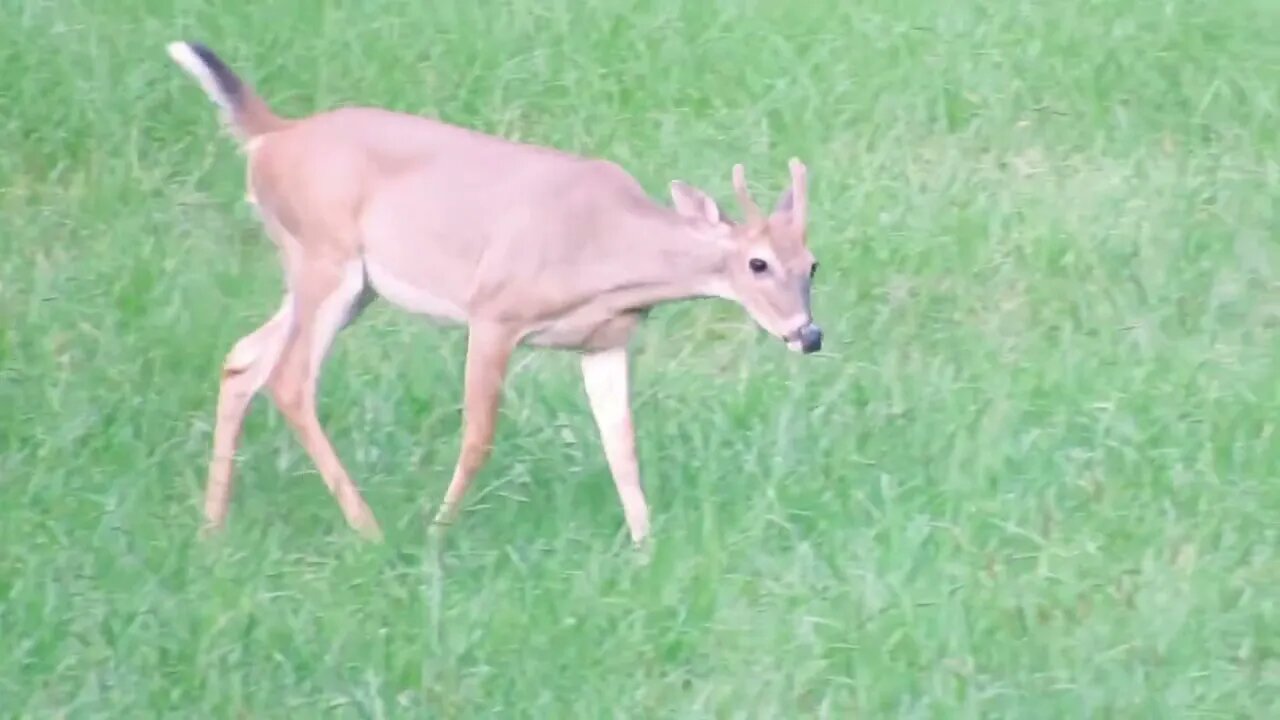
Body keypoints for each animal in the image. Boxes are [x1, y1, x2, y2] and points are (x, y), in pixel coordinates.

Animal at [165, 40, 824, 548]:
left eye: (814, 265)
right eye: (758, 263)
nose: (809, 334)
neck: (607, 249)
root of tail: (273, 136)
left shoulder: (605, 342)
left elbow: (623, 446)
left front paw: (645, 548)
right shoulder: (495, 311)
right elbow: (479, 435)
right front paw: (438, 532)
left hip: (345, 283)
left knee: (244, 359)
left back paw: (211, 528)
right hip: (326, 257)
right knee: (290, 379)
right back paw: (369, 529)